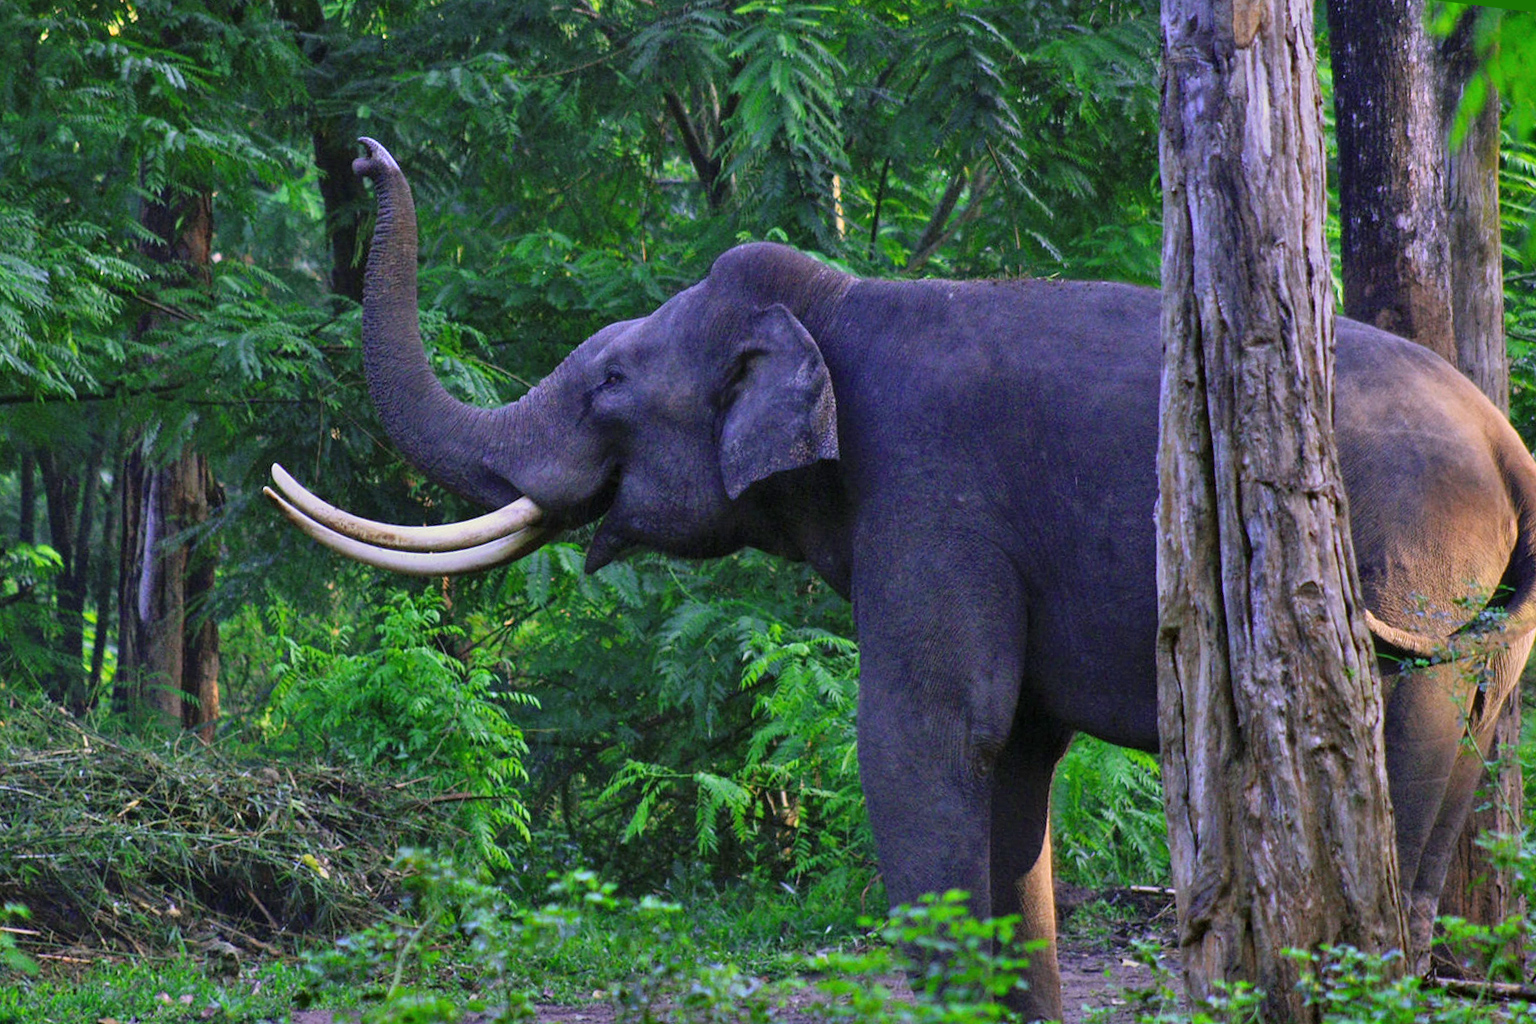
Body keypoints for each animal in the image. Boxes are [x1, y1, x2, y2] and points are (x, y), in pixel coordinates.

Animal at [270, 140, 1536, 1019]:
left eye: (609, 387)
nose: (368, 157)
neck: (836, 302)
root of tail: (1505, 440)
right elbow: (1011, 753)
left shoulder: (932, 494)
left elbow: (924, 734)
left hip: (1412, 551)